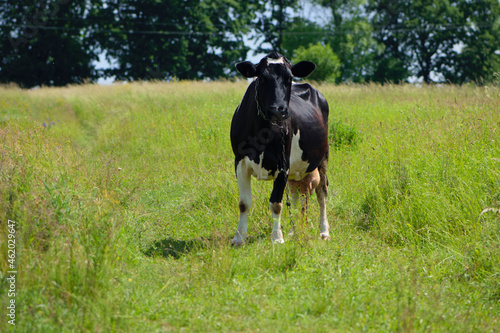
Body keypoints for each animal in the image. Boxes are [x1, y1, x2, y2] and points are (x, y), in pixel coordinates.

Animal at [230, 51, 332, 244]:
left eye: (289, 78)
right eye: (261, 78)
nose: (278, 110)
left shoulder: (282, 164)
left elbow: (276, 204)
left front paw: (277, 237)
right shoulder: (239, 161)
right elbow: (244, 203)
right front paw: (239, 238)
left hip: (323, 157)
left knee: (322, 193)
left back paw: (324, 231)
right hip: (295, 170)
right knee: (296, 195)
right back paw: (294, 231)